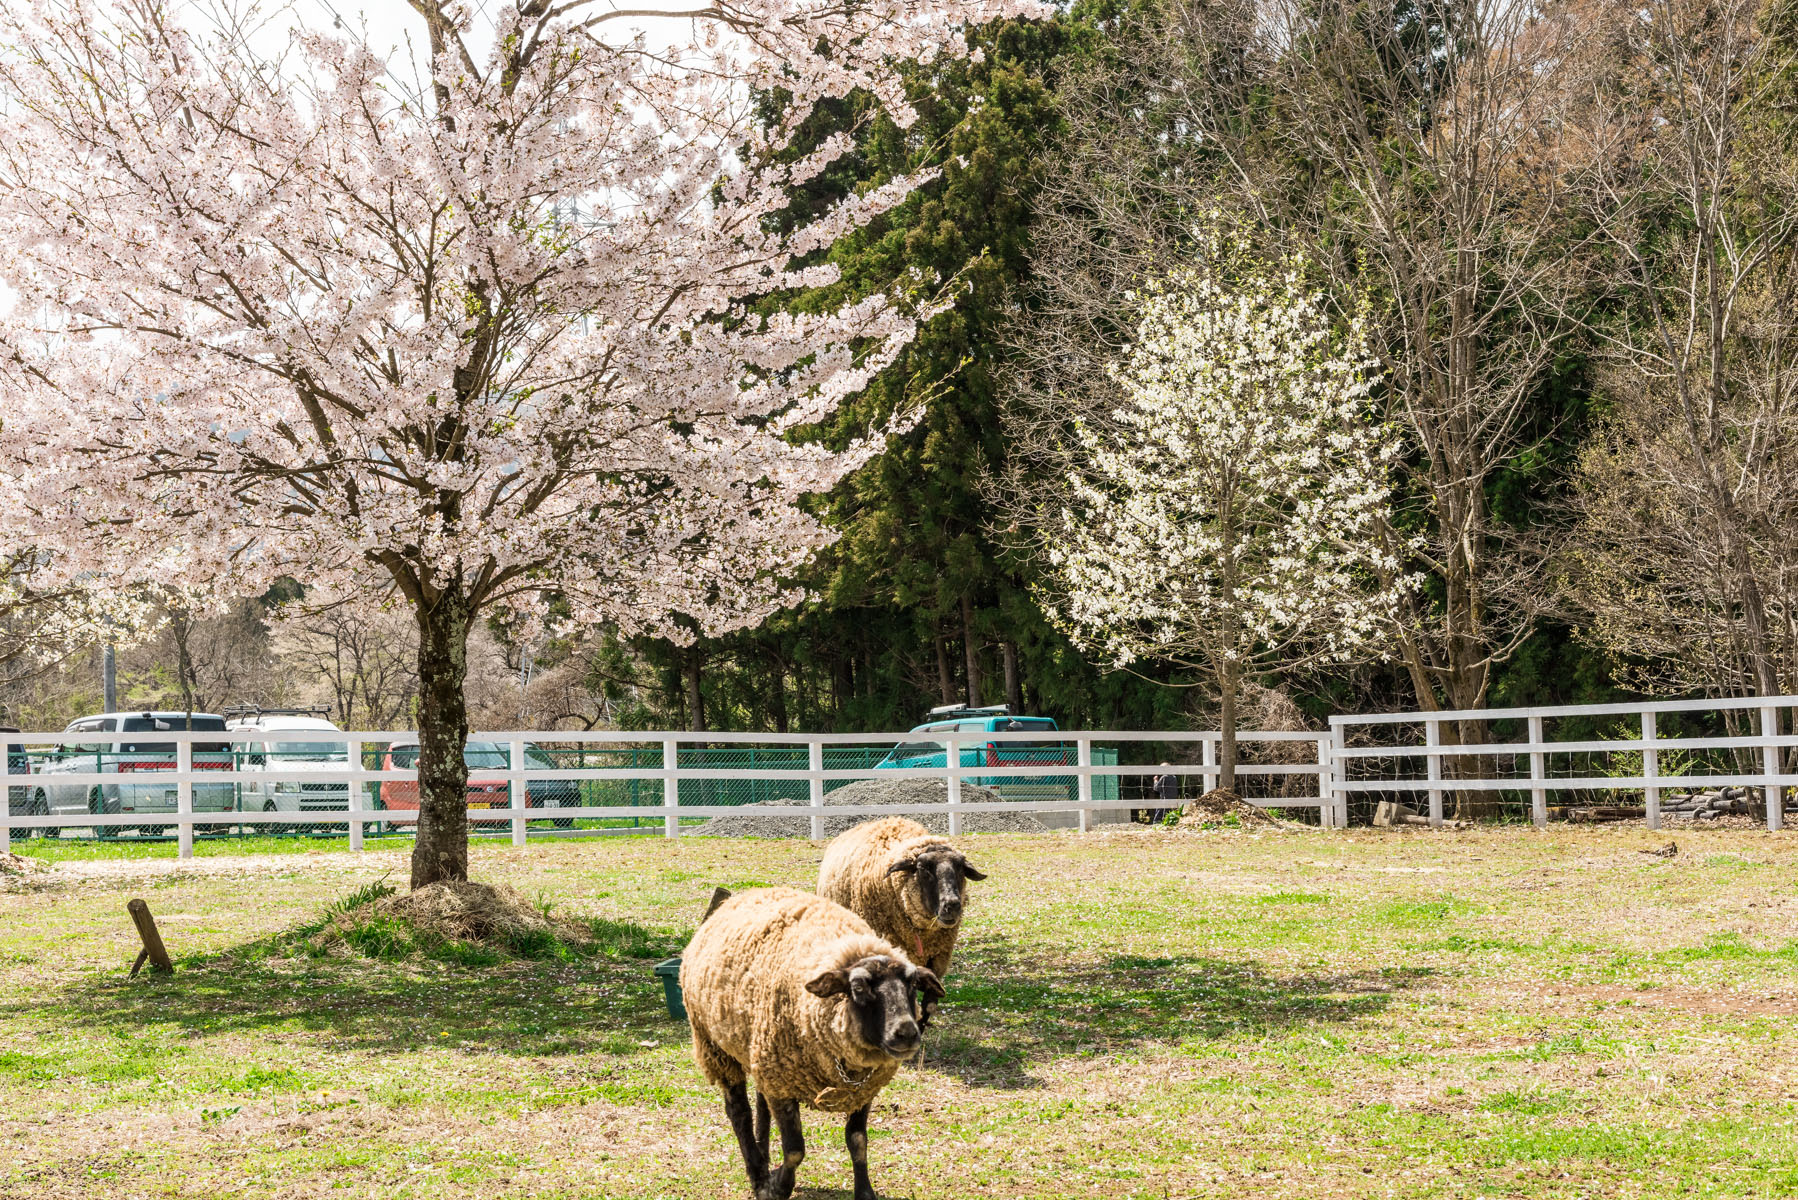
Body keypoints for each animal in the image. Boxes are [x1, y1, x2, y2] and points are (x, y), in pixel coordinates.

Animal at [679, 881, 949, 1200]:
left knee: (760, 1101)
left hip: (758, 1050)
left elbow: (858, 1141)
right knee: (738, 1113)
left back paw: (764, 1157)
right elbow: (795, 1150)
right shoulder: (783, 1086)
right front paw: (777, 1188)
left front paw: (864, 1191)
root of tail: (740, 897)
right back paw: (757, 1174)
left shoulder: (862, 1089)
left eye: (912, 984)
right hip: (715, 1047)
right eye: (858, 987)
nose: (906, 1033)